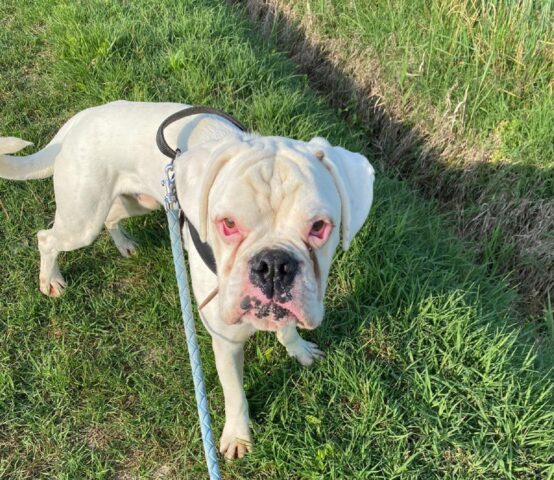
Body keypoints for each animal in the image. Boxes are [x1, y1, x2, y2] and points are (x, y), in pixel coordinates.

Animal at [0, 100, 374, 458]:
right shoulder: (227, 342)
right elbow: (235, 395)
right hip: (82, 220)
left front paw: (298, 349)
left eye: (319, 227)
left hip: (138, 202)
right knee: (46, 238)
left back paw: (124, 244)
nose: (273, 265)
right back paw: (50, 279)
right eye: (228, 224)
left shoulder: (289, 306)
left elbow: (287, 328)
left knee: (112, 217)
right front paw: (237, 437)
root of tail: (82, 117)